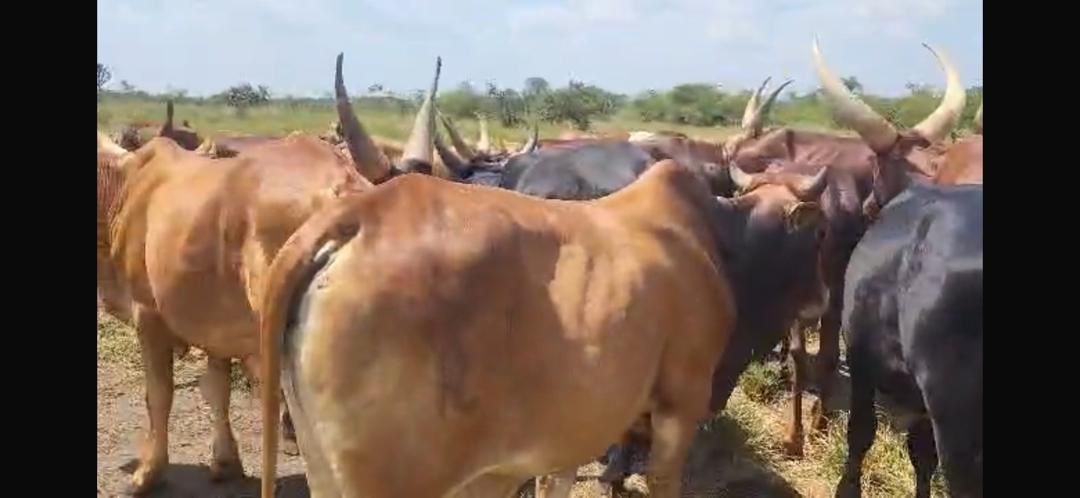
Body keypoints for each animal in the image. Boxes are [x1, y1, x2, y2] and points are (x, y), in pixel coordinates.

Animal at [95, 52, 445, 495]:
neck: (124, 185)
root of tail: (350, 189)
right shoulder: (214, 327)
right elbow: (217, 390)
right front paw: (224, 461)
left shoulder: (149, 314)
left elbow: (158, 395)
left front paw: (147, 473)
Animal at [257, 152, 832, 498]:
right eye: (820, 231)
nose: (823, 300)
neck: (719, 242)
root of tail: (358, 216)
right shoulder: (681, 400)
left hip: (325, 465)